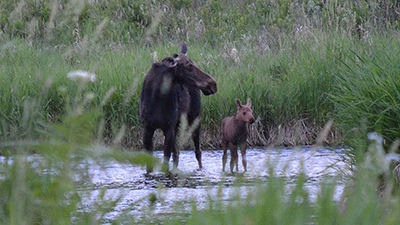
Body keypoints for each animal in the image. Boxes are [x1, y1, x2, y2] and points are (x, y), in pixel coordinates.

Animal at [139, 43, 217, 172]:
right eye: (189, 67)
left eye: (194, 64)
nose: (213, 84)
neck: (157, 97)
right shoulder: (147, 128)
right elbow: (149, 166)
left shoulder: (169, 128)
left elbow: (165, 162)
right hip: (179, 124)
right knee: (177, 153)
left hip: (195, 118)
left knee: (197, 151)